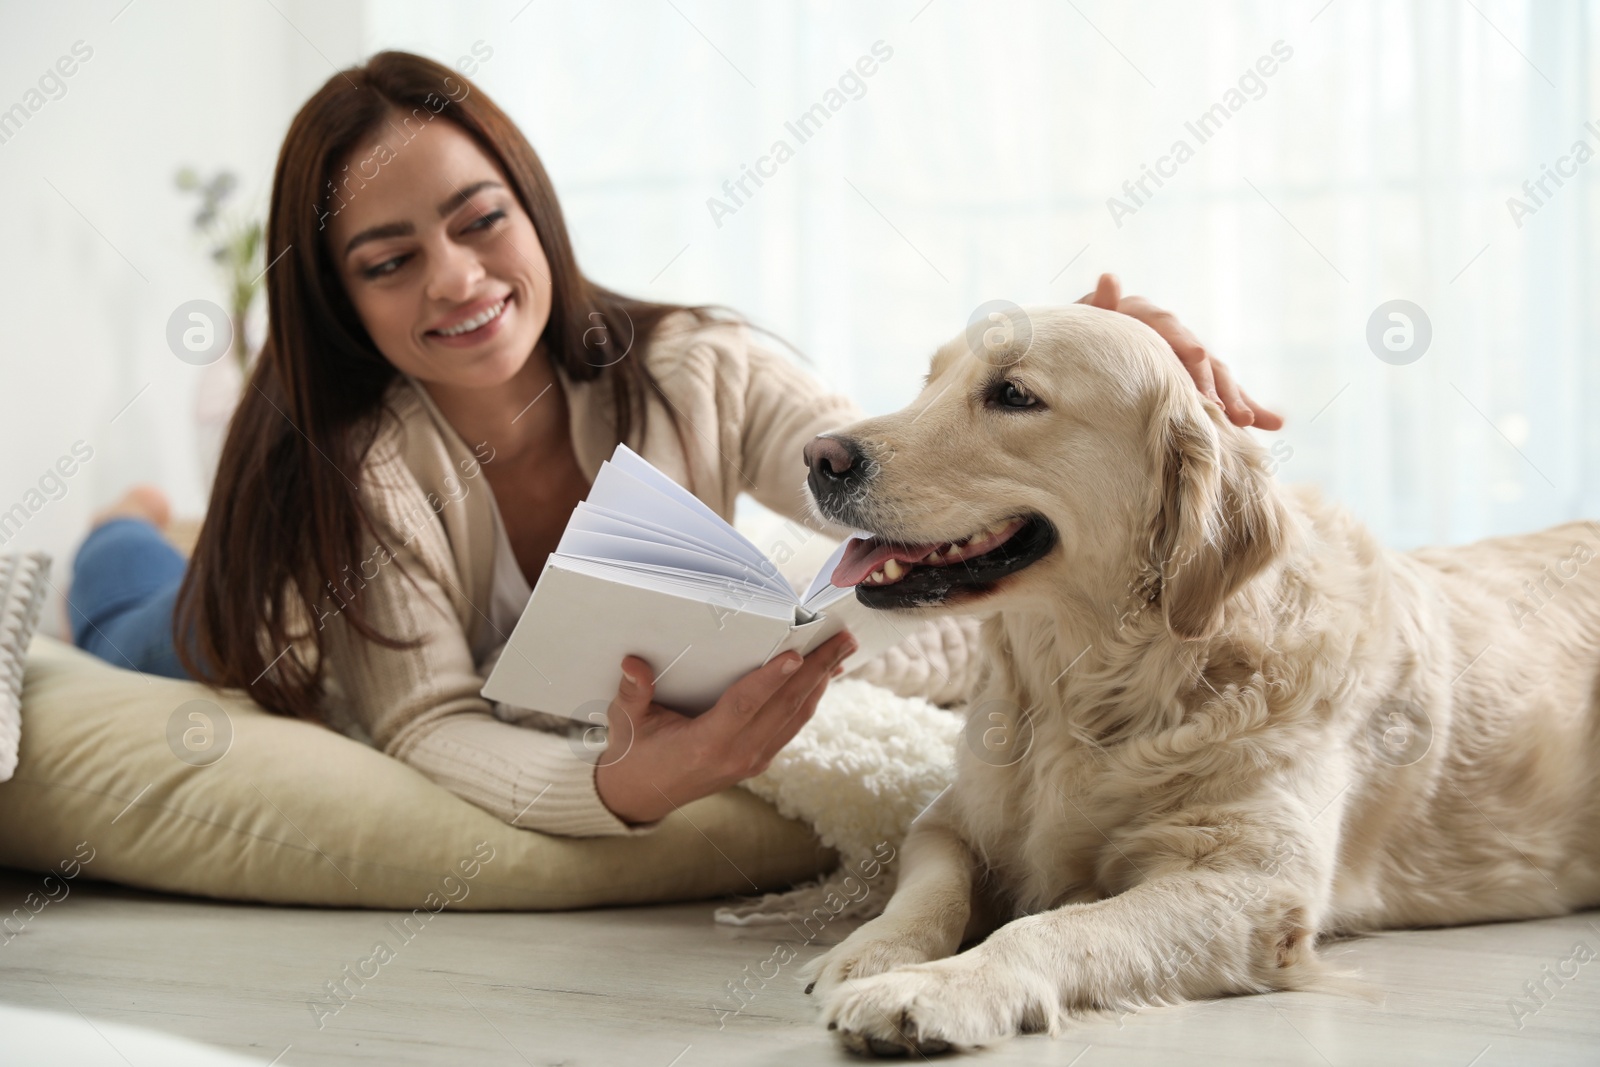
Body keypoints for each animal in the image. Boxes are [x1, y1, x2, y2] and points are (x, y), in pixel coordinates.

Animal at [800, 303, 1600, 1055]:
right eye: (929, 382)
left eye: (1014, 394)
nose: (820, 455)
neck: (1084, 689)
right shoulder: (950, 817)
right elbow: (930, 887)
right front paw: (870, 952)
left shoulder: (1247, 884)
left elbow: (1052, 929)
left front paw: (935, 989)